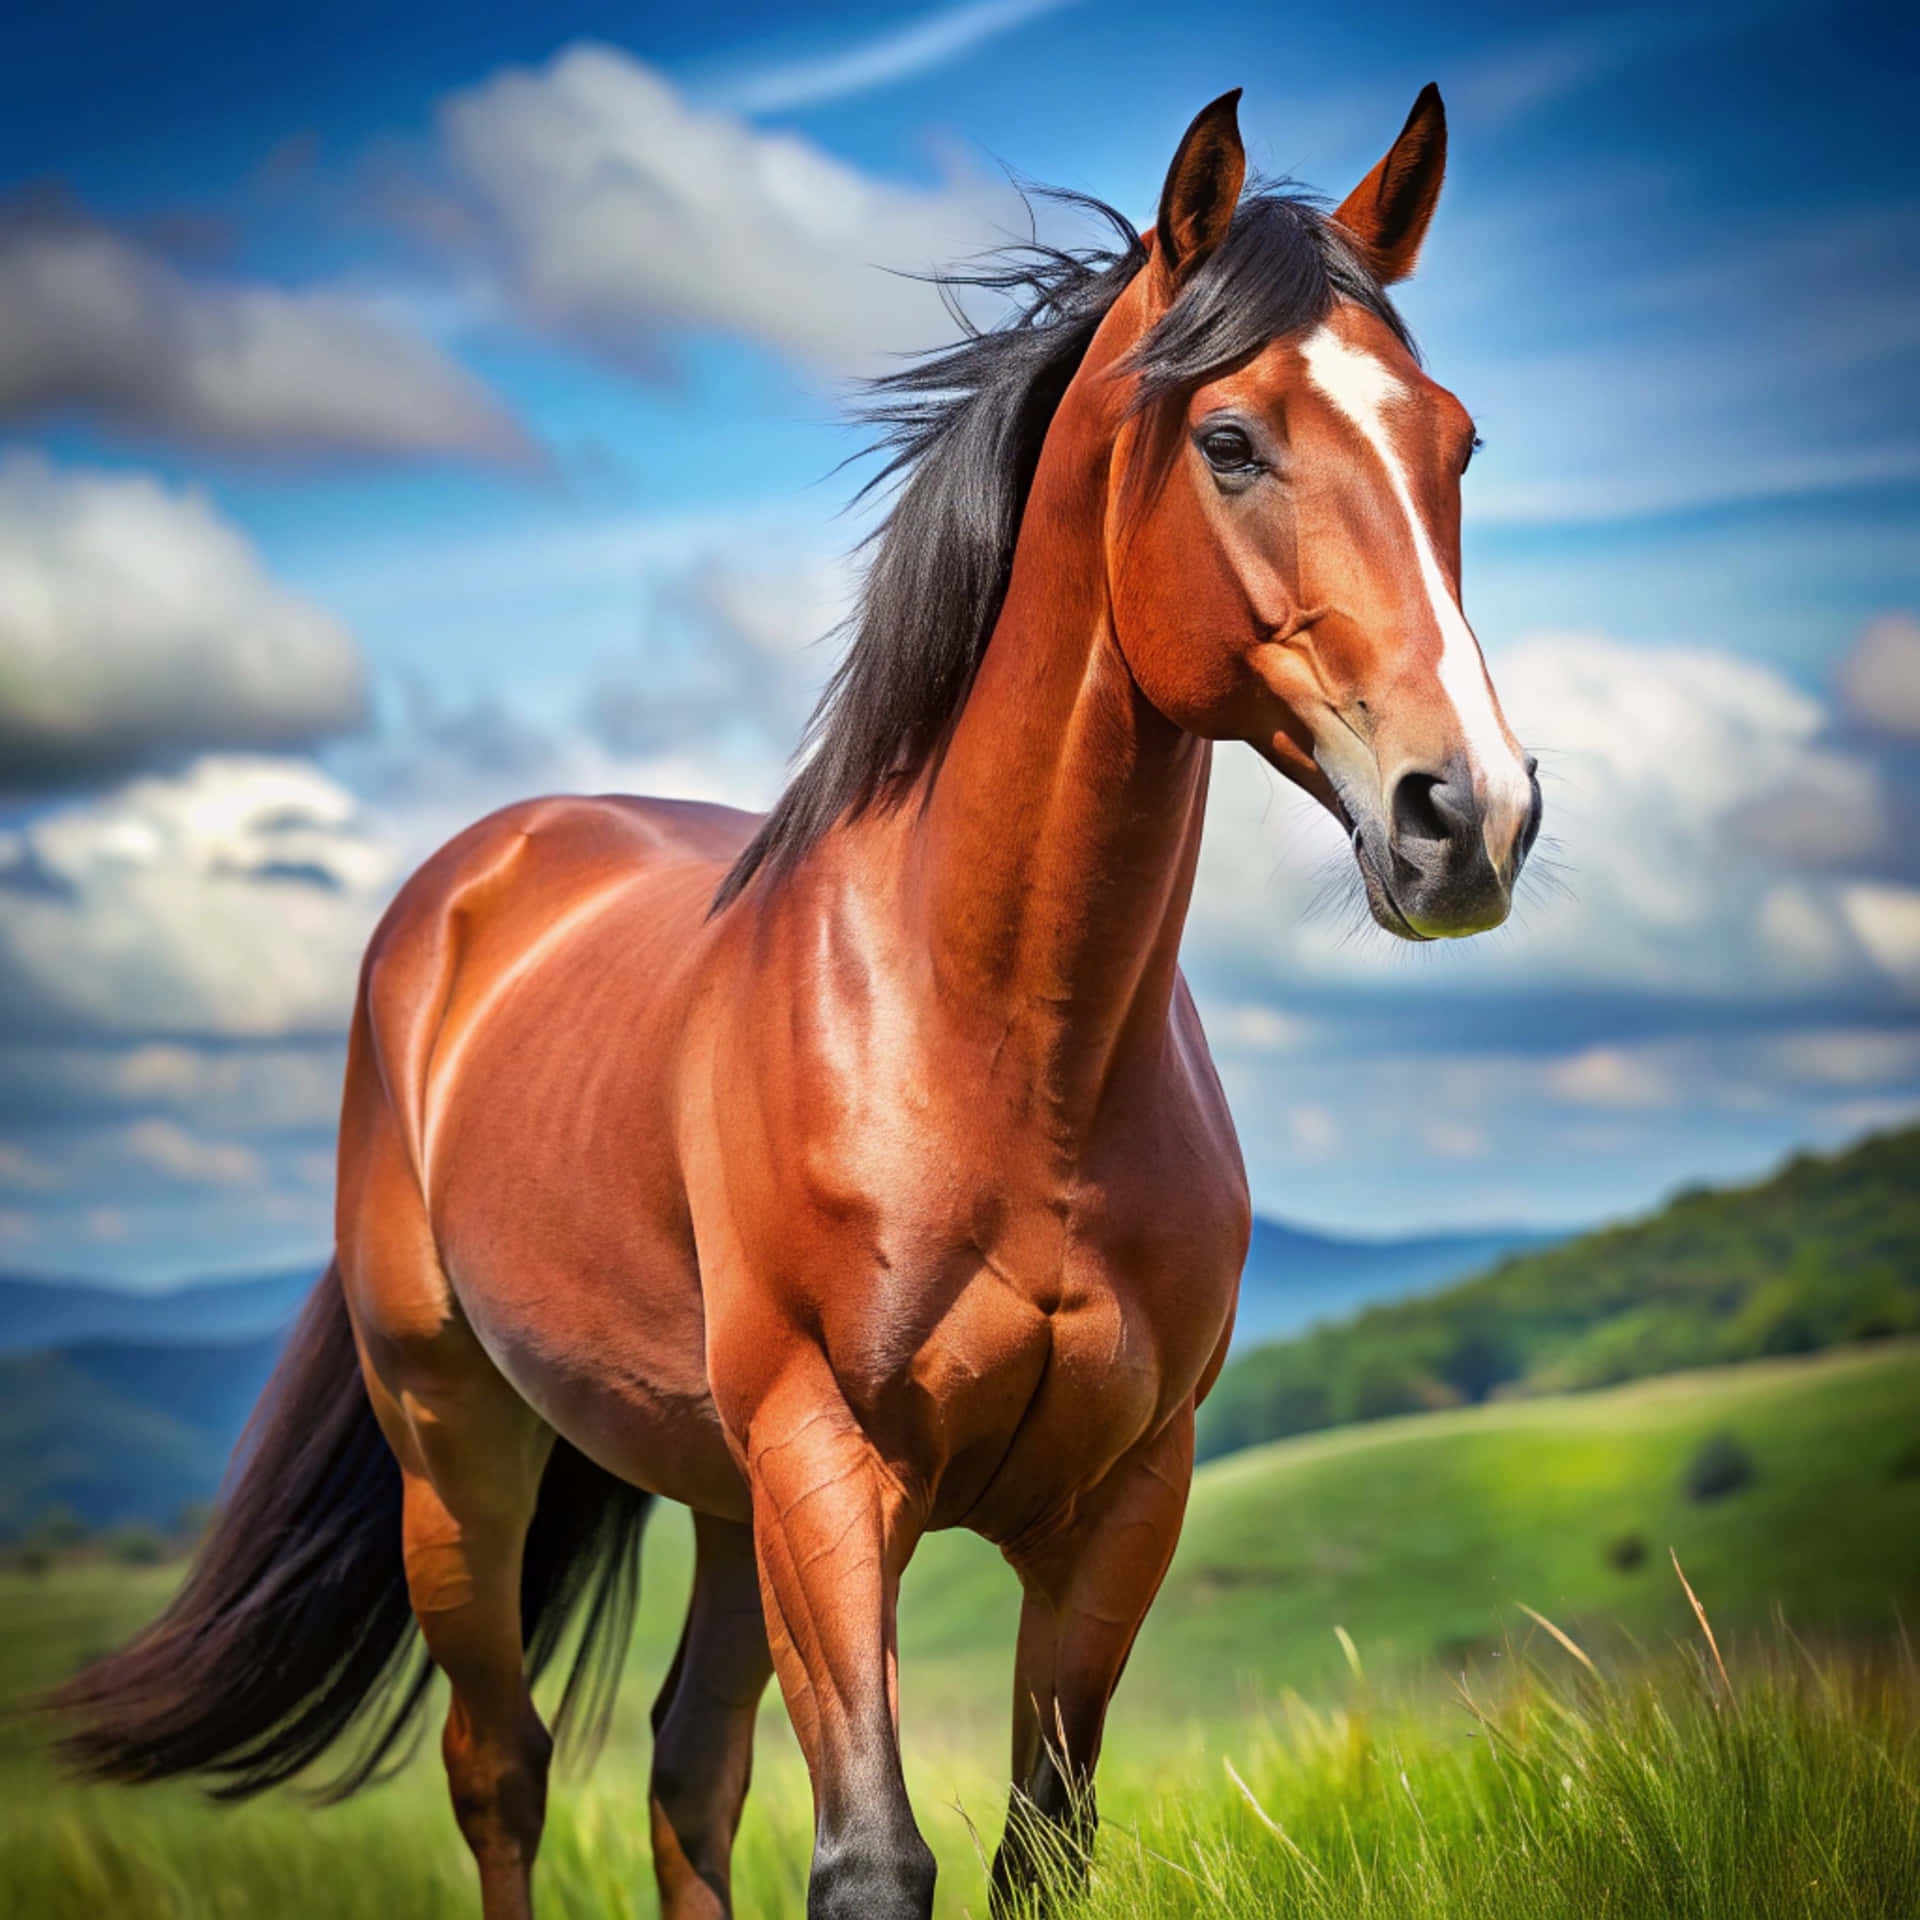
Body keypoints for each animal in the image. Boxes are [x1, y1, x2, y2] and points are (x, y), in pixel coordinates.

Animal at [53, 83, 1540, 1920]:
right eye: (1233, 442)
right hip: (459, 1448)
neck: (999, 1043)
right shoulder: (831, 1466)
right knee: (501, 1769)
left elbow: (1034, 1846)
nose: (1468, 814)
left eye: (1455, 444)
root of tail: (470, 886)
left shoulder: (1123, 1500)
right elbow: (869, 1859)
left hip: (713, 1495)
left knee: (685, 1770)